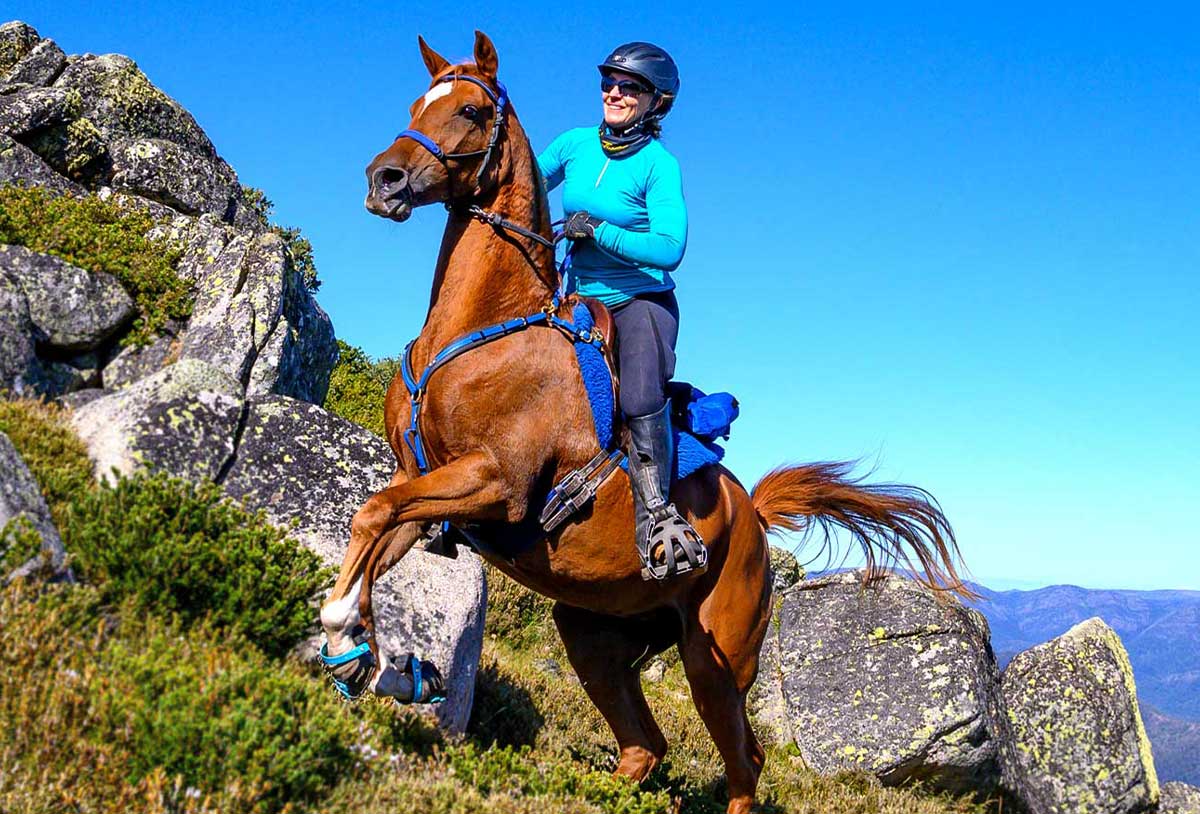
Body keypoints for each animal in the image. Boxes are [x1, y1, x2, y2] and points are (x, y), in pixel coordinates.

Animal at [318, 31, 973, 814]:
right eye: (419, 102)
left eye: (473, 110)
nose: (383, 180)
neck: (483, 329)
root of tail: (752, 514)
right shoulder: (425, 483)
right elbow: (375, 525)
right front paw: (363, 655)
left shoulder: (494, 484)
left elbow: (373, 513)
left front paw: (347, 639)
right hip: (594, 632)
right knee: (645, 745)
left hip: (715, 657)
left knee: (745, 761)